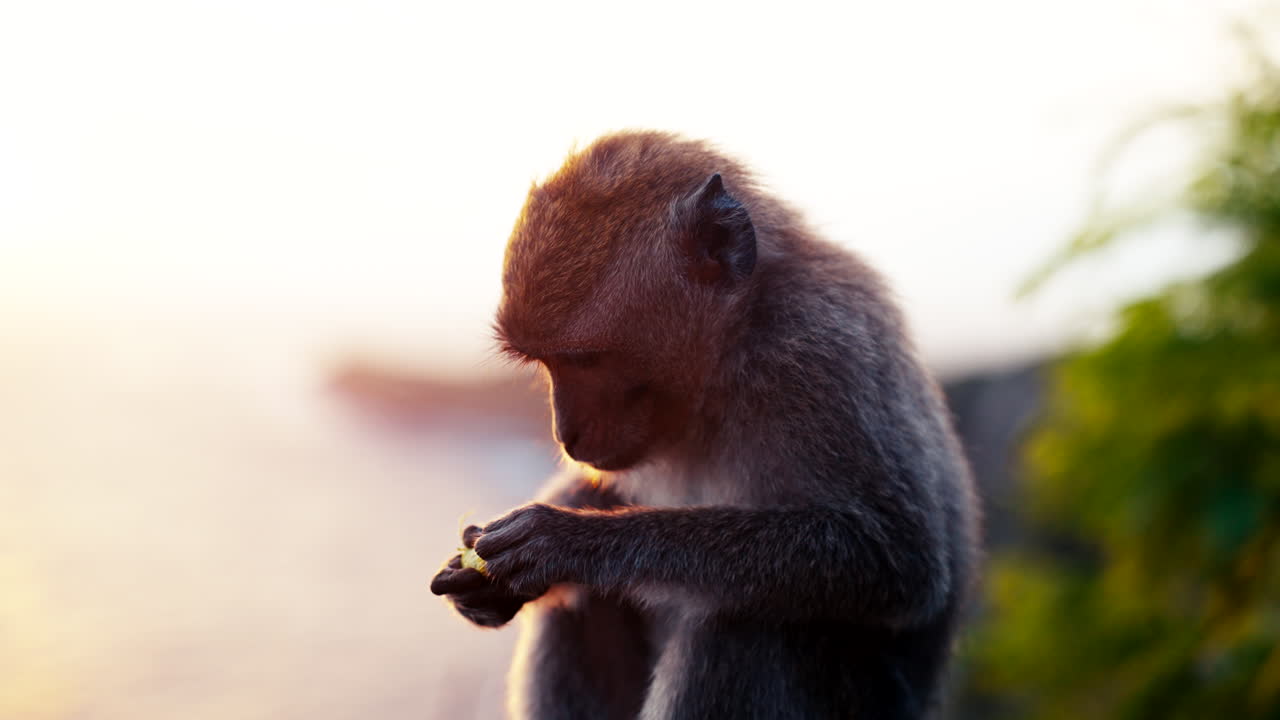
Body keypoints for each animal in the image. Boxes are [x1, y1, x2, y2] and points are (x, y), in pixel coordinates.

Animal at [429, 130, 980, 720]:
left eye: (585, 360)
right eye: (546, 362)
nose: (565, 435)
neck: (734, 348)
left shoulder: (823, 352)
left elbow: (895, 558)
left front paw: (571, 540)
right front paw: (488, 577)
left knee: (748, 620)